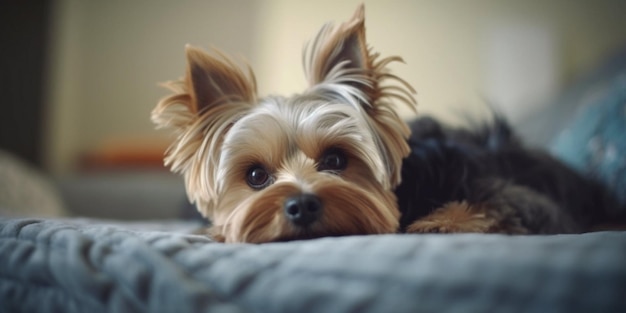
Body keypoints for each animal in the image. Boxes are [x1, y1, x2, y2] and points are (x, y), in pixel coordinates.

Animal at [151, 5, 616, 244]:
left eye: (336, 160)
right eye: (255, 176)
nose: (301, 205)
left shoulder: (523, 197)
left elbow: (511, 206)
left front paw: (442, 221)